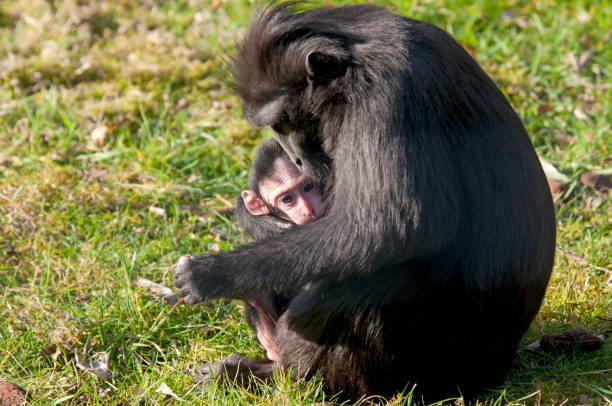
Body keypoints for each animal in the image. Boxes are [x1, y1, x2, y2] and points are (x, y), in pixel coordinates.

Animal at [175, 3, 556, 402]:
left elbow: (392, 226)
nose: (294, 157)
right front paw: (254, 217)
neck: (355, 60)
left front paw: (215, 273)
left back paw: (277, 376)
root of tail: (499, 363)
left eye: (283, 122)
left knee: (369, 281)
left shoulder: (385, 98)